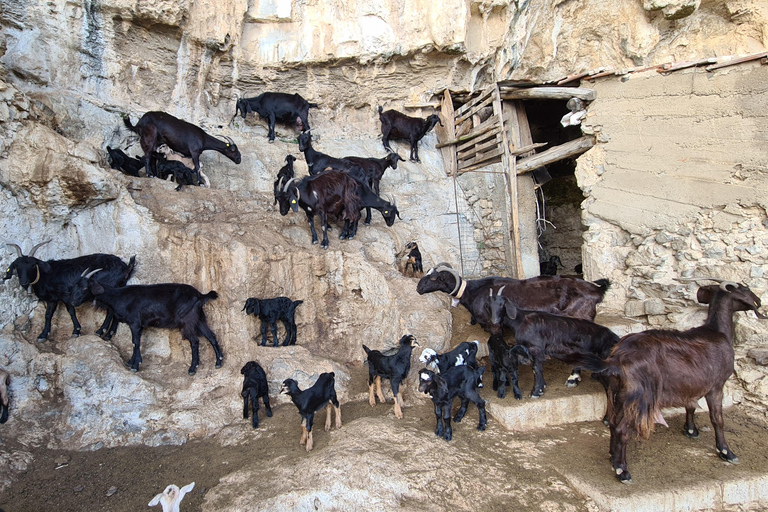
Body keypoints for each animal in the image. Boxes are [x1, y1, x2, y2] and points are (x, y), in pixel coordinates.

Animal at [4, 242, 136, 342]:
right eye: (17, 266)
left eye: (32, 265)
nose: (24, 282)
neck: (45, 275)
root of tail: (125, 268)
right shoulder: (53, 298)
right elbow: (48, 315)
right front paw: (43, 335)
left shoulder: (66, 295)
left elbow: (71, 311)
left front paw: (76, 331)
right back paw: (109, 334)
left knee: (110, 311)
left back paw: (100, 331)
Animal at [73, 274, 222, 374]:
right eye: (76, 285)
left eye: (85, 287)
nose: (74, 302)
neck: (118, 296)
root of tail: (200, 295)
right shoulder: (139, 326)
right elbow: (135, 342)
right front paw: (130, 362)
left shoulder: (135, 323)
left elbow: (135, 342)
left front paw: (135, 365)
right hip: (199, 318)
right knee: (211, 336)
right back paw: (219, 361)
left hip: (187, 320)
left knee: (195, 341)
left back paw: (192, 368)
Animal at [488, 288, 620, 400]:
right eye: (489, 307)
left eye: (502, 305)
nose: (494, 321)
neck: (520, 320)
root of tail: (613, 337)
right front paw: (542, 387)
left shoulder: (535, 348)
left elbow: (536, 368)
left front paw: (536, 392)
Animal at [572, 278, 764, 482]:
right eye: (745, 289)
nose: (759, 300)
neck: (717, 332)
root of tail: (617, 359)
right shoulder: (716, 386)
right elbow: (717, 419)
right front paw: (727, 452)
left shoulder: (691, 384)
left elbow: (691, 405)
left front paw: (691, 430)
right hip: (640, 397)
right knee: (622, 429)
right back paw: (622, 470)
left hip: (619, 393)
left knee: (614, 424)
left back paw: (613, 457)